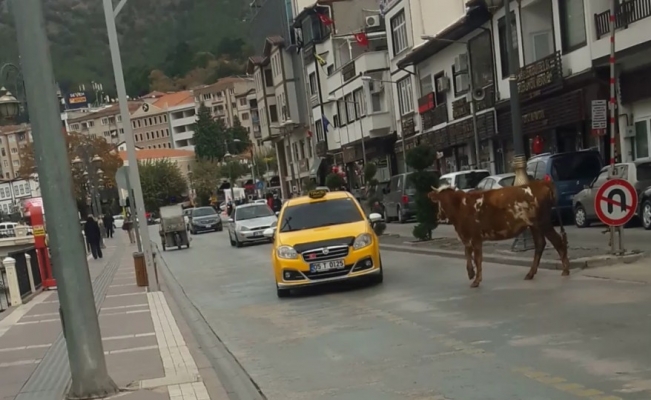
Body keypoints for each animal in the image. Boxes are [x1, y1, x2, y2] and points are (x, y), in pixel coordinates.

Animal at [430, 180, 568, 288]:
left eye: (438, 202)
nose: (438, 216)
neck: (460, 206)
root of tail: (540, 183)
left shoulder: (475, 237)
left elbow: (477, 258)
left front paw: (476, 280)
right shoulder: (467, 236)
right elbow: (467, 253)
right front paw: (471, 273)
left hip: (543, 222)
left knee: (557, 241)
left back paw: (566, 271)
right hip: (534, 226)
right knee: (540, 244)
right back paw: (530, 274)